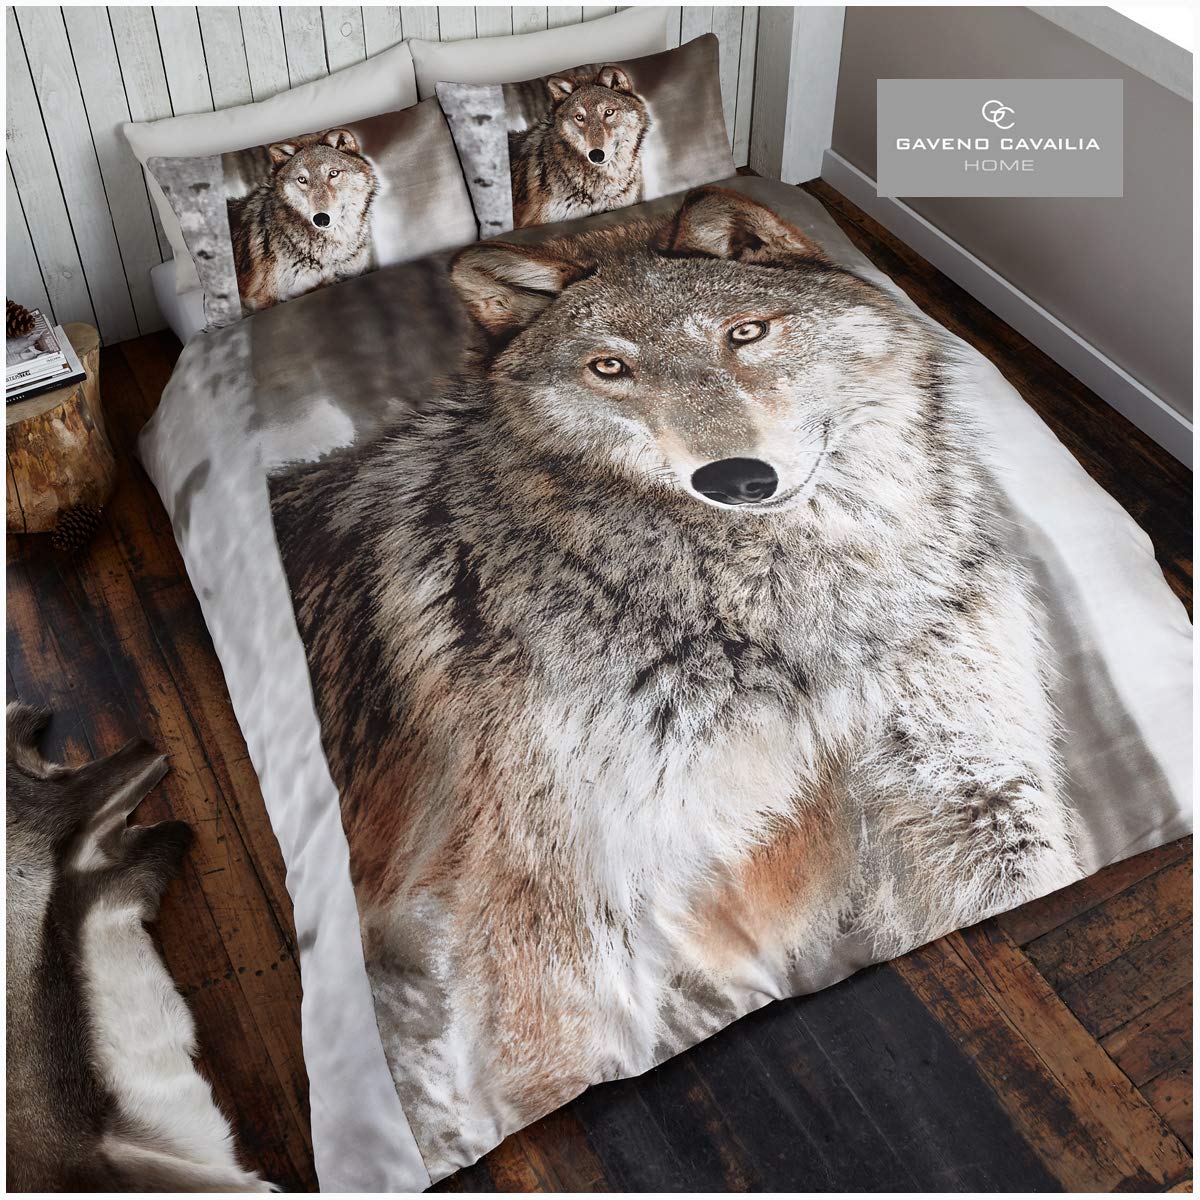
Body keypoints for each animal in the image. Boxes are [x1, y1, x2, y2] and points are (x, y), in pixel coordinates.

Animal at [271, 186, 1077, 1171]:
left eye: (746, 332)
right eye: (611, 368)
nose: (736, 478)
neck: (791, 619)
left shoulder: (973, 788)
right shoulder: (560, 896)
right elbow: (564, 1062)